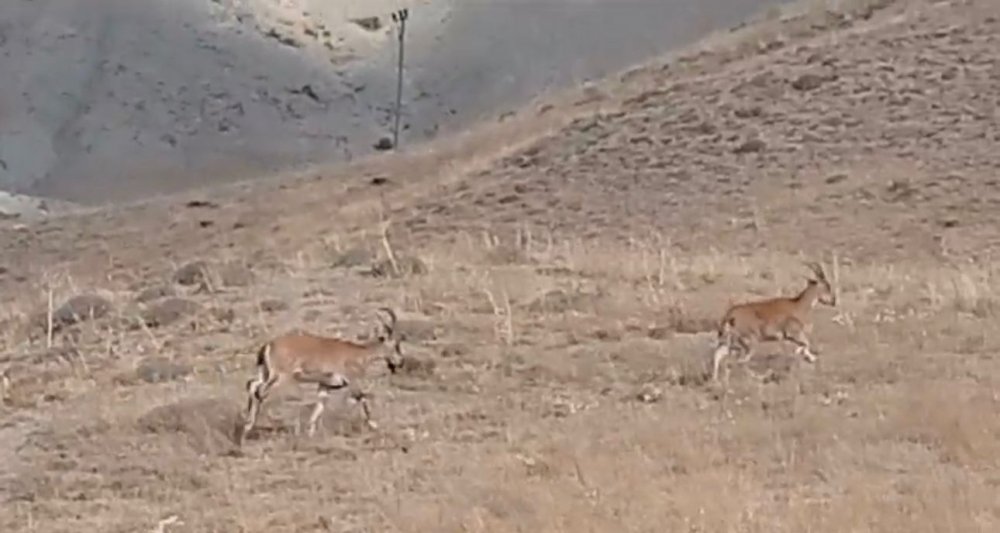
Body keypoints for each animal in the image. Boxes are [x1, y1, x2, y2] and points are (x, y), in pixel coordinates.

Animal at [236, 307, 404, 446]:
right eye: (396, 344)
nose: (400, 362)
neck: (359, 354)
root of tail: (269, 345)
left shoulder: (325, 385)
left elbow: (319, 407)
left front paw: (309, 434)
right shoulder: (352, 381)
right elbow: (363, 399)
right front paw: (374, 425)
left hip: (265, 374)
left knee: (253, 385)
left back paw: (246, 429)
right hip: (279, 377)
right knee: (260, 392)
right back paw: (249, 427)